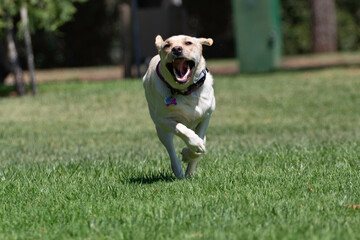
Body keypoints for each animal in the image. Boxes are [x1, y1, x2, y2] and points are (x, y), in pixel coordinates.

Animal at [143, 34, 215, 179]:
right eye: (167, 45)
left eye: (188, 43)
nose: (176, 49)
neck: (185, 91)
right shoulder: (163, 120)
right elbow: (181, 128)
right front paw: (194, 144)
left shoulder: (206, 115)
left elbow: (200, 143)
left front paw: (190, 153)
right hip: (161, 131)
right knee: (170, 149)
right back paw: (179, 172)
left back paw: (190, 173)